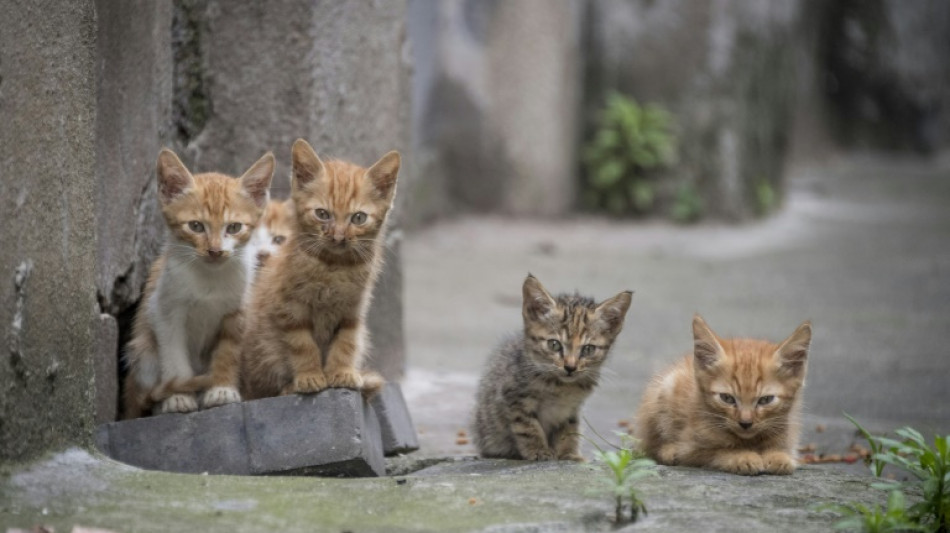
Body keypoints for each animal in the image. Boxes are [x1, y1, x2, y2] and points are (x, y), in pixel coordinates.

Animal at [121, 148, 274, 418]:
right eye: (195, 226)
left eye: (234, 227)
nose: (215, 251)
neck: (209, 279)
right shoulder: (164, 310)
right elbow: (174, 357)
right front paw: (178, 397)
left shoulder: (237, 312)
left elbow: (228, 352)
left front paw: (222, 389)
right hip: (142, 351)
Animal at [242, 139, 402, 402]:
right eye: (322, 214)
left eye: (358, 218)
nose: (338, 236)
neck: (334, 267)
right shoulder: (290, 309)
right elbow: (302, 344)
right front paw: (310, 376)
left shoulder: (352, 310)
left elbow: (346, 342)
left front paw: (342, 372)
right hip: (263, 350)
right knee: (262, 388)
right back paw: (288, 387)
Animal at [474, 276, 636, 460]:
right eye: (554, 344)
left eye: (588, 349)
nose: (570, 367)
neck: (562, 387)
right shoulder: (514, 396)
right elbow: (527, 426)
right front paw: (539, 450)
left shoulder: (571, 409)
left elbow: (569, 430)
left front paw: (568, 453)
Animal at [636, 316, 816, 474]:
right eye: (727, 398)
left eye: (765, 400)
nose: (745, 423)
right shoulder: (689, 448)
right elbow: (719, 451)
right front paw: (743, 457)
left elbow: (782, 449)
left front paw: (779, 457)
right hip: (665, 388)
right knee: (651, 445)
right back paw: (668, 450)